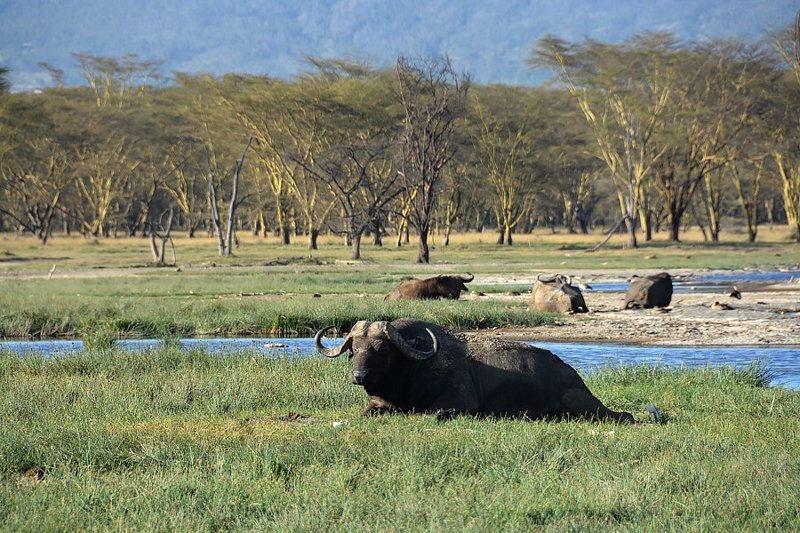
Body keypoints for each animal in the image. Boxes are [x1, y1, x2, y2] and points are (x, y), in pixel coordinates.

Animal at [316, 318, 636, 422]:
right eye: (354, 350)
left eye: (381, 349)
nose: (359, 376)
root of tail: (573, 376)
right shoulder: (378, 404)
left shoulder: (457, 401)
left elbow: (432, 412)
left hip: (583, 404)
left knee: (625, 416)